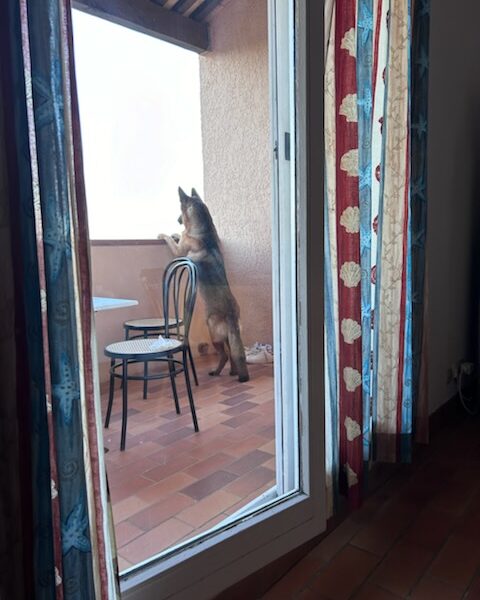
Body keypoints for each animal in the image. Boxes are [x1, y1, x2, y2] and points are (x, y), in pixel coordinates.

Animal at [159, 188, 251, 382]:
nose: (177, 220)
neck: (203, 229)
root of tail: (231, 315)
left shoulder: (178, 251)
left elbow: (170, 241)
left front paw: (165, 234)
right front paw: (175, 233)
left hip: (213, 335)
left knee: (225, 355)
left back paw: (216, 372)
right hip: (228, 337)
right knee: (232, 354)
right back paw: (232, 371)